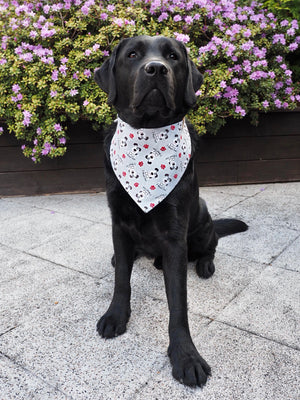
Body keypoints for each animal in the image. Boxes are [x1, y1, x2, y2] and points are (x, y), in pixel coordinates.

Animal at [95, 36, 247, 388]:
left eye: (173, 57)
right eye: (132, 54)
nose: (155, 69)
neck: (148, 138)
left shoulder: (176, 235)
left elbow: (178, 305)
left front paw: (185, 356)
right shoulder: (118, 222)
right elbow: (122, 280)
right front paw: (115, 315)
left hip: (202, 218)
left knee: (210, 245)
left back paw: (204, 264)